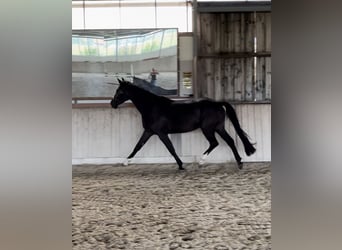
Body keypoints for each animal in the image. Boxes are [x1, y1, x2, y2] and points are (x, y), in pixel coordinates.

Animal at [111, 78, 255, 170]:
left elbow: (171, 149)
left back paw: (201, 161)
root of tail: (218, 104)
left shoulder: (161, 133)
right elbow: (138, 146)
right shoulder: (149, 131)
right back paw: (239, 163)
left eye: (120, 91)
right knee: (230, 141)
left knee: (215, 143)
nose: (112, 104)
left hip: (208, 129)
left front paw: (181, 165)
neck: (151, 107)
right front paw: (125, 162)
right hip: (219, 128)